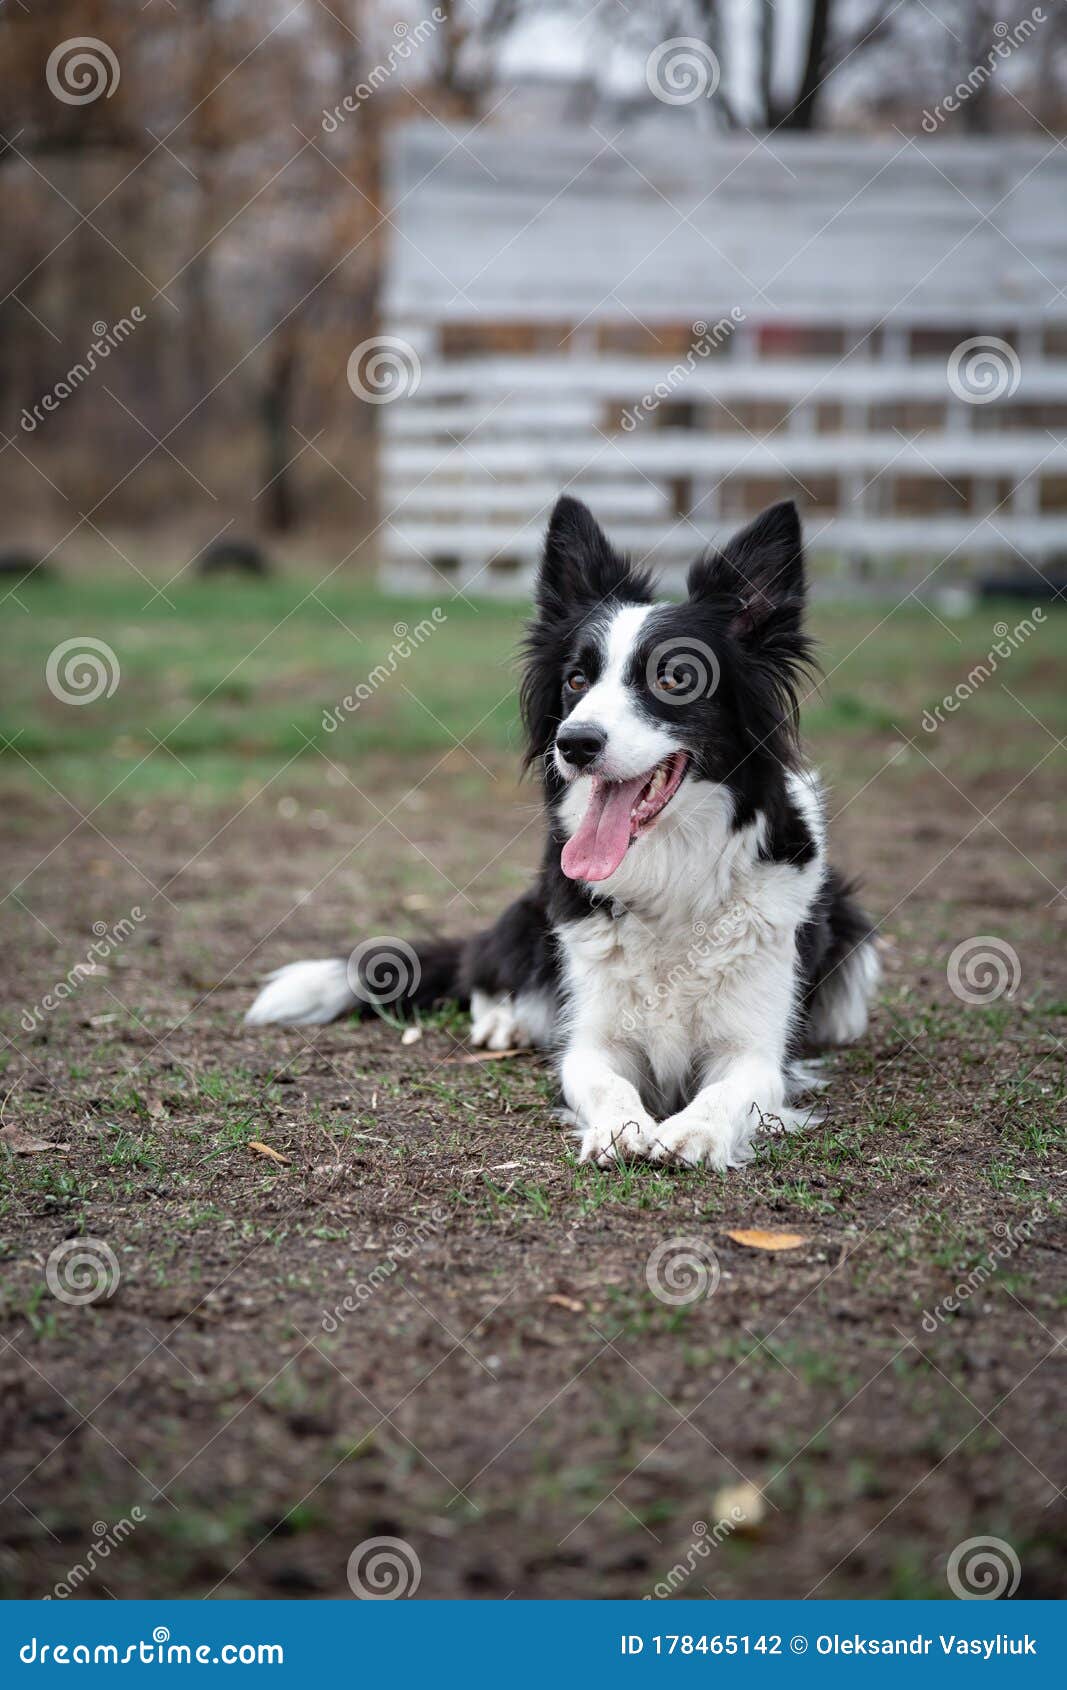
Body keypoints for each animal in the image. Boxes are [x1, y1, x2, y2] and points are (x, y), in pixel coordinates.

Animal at [248, 493, 879, 1169]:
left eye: (675, 678)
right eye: (576, 680)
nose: (573, 743)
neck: (670, 873)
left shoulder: (756, 1049)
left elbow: (733, 1090)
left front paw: (695, 1131)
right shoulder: (591, 1037)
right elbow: (603, 1078)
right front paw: (621, 1127)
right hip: (534, 908)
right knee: (484, 964)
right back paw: (503, 1019)